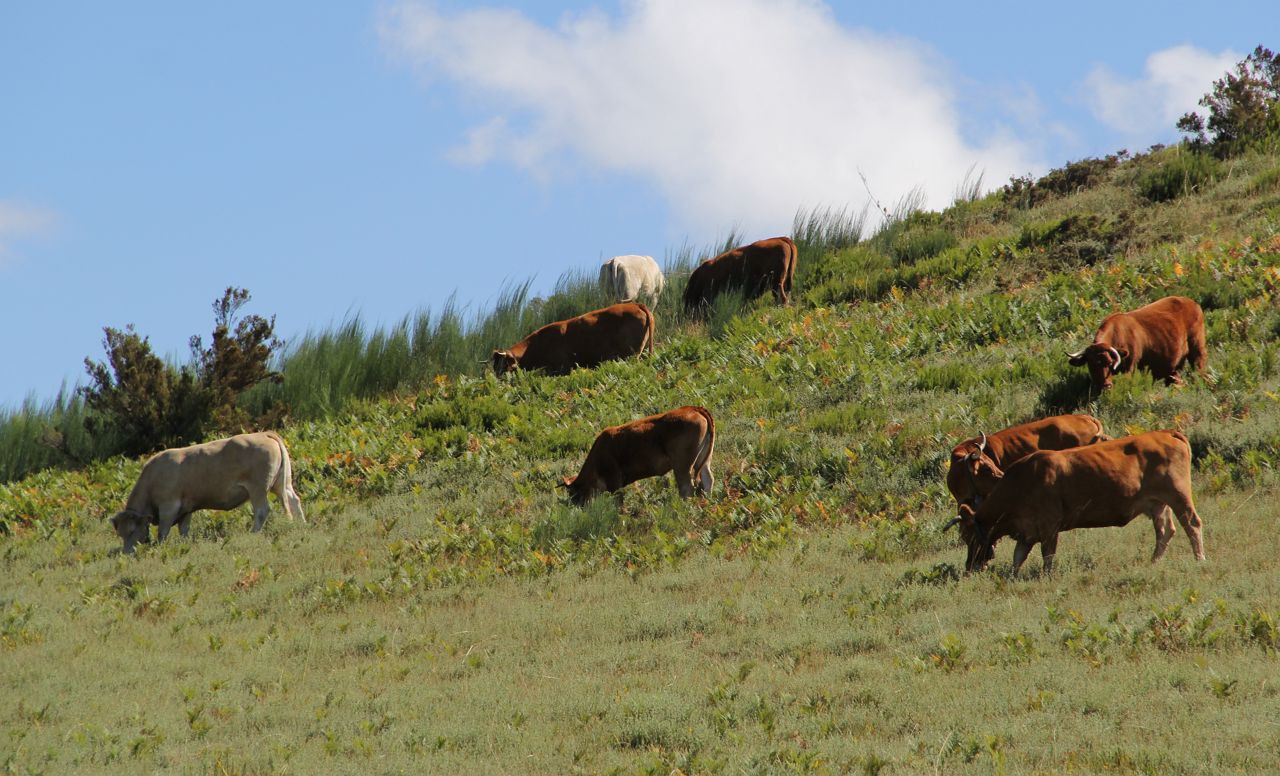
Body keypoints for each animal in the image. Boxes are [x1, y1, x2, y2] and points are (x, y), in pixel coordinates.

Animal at [108, 432, 305, 553]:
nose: (127, 553)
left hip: (258, 489)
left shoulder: (169, 506)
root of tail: (263, 433)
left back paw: (253, 533)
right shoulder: (186, 509)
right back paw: (302, 525)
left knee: (262, 511)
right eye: (121, 534)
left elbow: (163, 531)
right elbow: (184, 530)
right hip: (282, 484)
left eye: (132, 531)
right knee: (294, 501)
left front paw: (160, 546)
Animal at [486, 302, 650, 379]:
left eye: (505, 366)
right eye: (495, 367)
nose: (499, 380)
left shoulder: (561, 368)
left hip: (631, 355)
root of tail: (635, 304)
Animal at [563, 407, 716, 512]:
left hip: (682, 465)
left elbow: (618, 500)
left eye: (573, 494)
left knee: (686, 487)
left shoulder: (614, 480)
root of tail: (692, 408)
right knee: (708, 479)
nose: (577, 508)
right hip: (704, 460)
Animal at [952, 432, 1208, 578]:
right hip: (1157, 504)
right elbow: (1018, 558)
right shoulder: (1027, 533)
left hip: (1178, 496)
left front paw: (1046, 576)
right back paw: (1154, 561)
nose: (969, 566)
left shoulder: (1049, 527)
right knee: (1165, 531)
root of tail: (1168, 433)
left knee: (1192, 524)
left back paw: (1199, 559)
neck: (1022, 481)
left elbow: (1047, 555)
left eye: (967, 535)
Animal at [1064, 298, 1203, 394]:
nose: (1106, 386)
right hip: (1175, 367)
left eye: (1110, 362)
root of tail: (1192, 302)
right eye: (1091, 365)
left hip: (1197, 347)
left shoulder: (1129, 368)